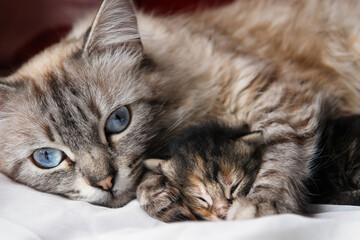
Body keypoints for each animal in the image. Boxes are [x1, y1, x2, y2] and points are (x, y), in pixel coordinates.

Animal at [0, 0, 360, 220]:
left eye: (118, 121)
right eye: (47, 158)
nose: (104, 183)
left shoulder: (278, 96)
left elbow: (279, 154)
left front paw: (261, 207)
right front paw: (163, 196)